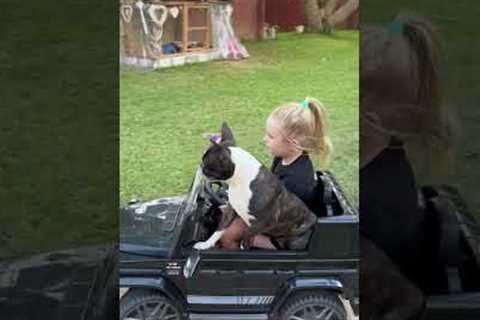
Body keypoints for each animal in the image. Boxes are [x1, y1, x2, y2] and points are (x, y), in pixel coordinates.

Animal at [193, 122, 316, 250]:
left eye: (206, 163)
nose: (200, 166)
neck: (239, 181)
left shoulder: (262, 223)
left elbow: (246, 234)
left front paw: (244, 247)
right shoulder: (231, 210)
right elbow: (219, 229)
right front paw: (205, 244)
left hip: (295, 241)